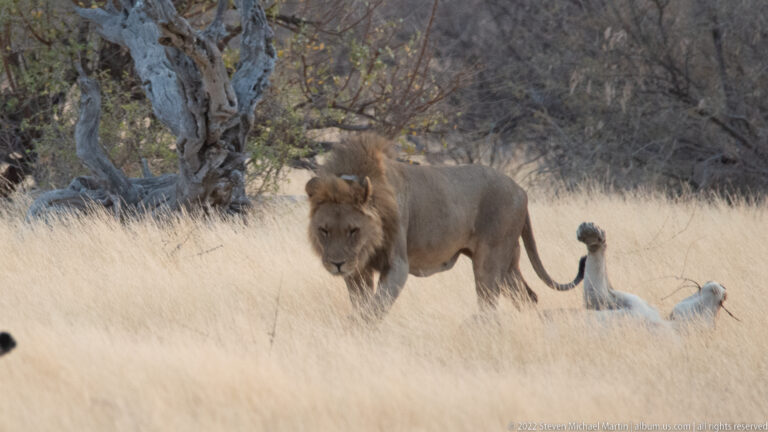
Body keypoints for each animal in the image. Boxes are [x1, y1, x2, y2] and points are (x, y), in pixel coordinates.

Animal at [305, 134, 583, 321]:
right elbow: (362, 305)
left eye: (353, 230)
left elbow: (375, 308)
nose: (337, 264)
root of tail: (521, 190)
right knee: (527, 296)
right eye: (324, 231)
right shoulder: (357, 271)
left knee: (488, 303)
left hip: (490, 259)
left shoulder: (397, 264)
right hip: (508, 264)